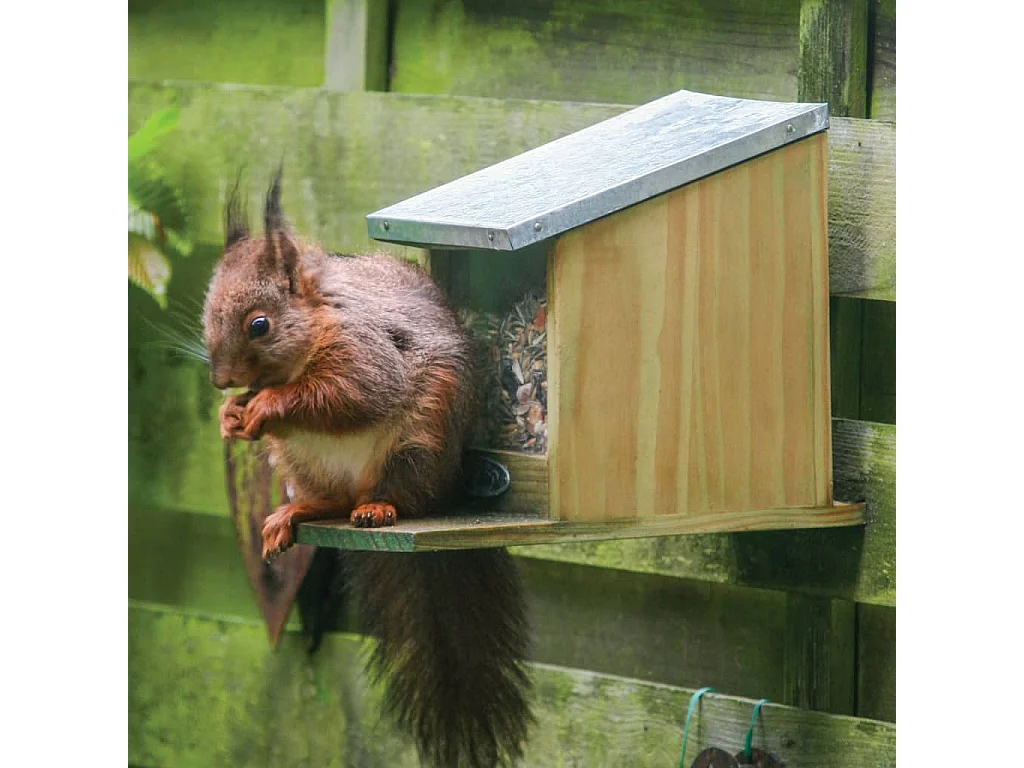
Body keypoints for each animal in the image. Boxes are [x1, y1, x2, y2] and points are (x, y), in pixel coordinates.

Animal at [202, 172, 533, 767]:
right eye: (206, 313)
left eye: (259, 324)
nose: (220, 380)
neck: (318, 319)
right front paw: (231, 416)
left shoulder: (367, 351)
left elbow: (351, 394)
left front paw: (266, 406)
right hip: (305, 465)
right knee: (331, 500)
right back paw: (292, 516)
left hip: (417, 444)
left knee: (402, 495)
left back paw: (379, 508)